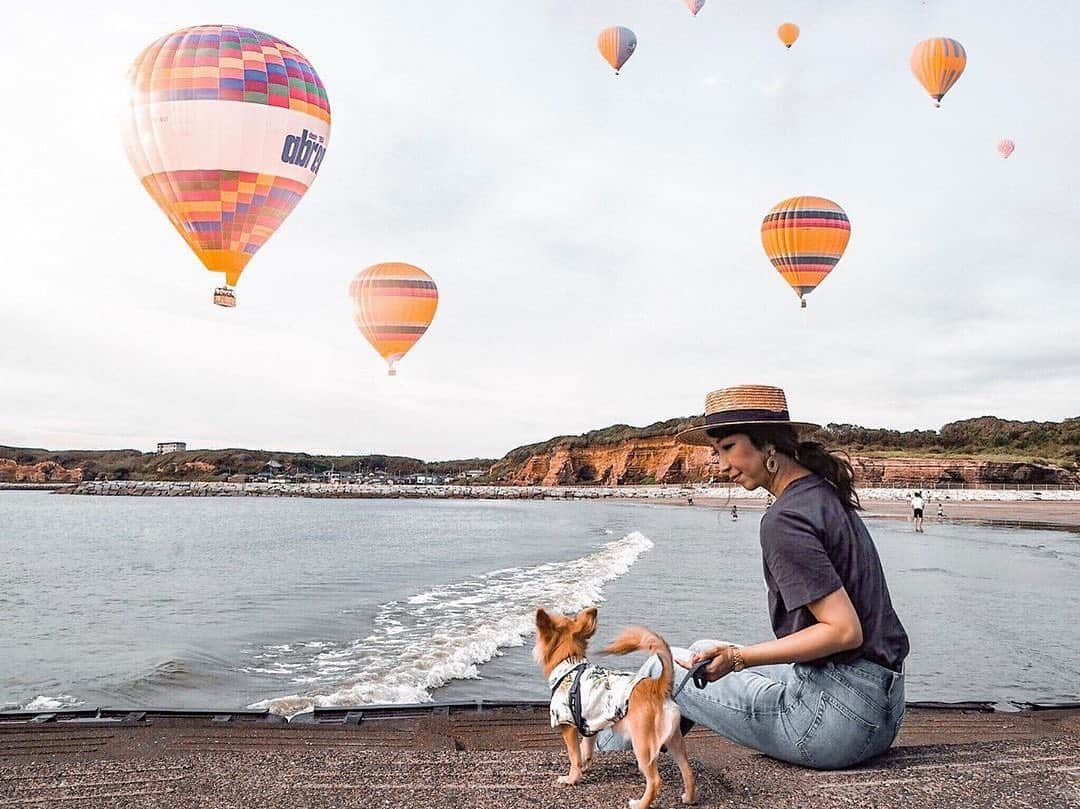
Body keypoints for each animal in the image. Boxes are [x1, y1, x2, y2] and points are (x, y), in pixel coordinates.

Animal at [533, 604, 699, 807]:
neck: (570, 664)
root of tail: (658, 685)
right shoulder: (590, 726)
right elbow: (585, 750)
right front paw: (583, 768)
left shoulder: (567, 725)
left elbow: (574, 755)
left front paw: (571, 778)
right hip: (674, 740)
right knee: (688, 771)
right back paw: (689, 799)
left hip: (642, 744)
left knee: (655, 780)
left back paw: (640, 804)